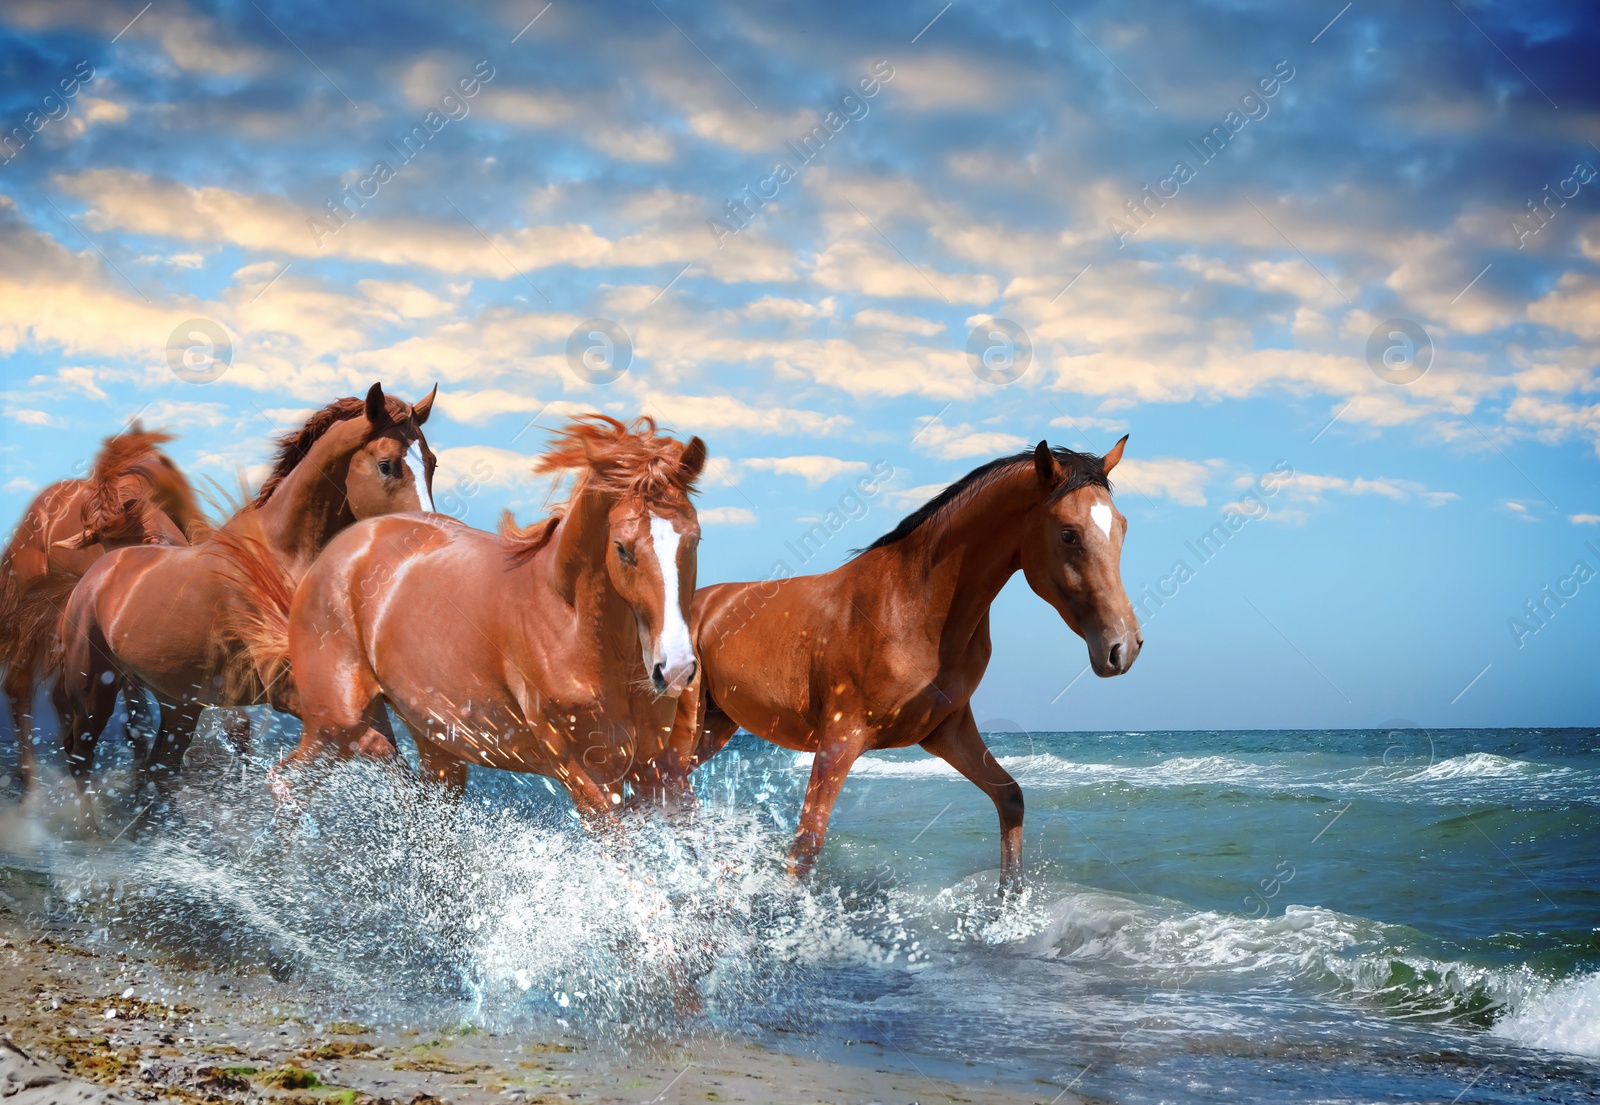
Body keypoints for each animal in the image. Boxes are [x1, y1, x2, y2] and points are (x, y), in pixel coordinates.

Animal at [58, 385, 438, 799]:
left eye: (432, 463)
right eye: (386, 464)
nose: (426, 537)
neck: (284, 559)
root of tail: (105, 566)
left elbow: (398, 767)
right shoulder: (284, 686)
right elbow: (370, 745)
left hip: (179, 704)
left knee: (159, 769)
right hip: (92, 692)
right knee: (79, 759)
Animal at [272, 415, 704, 818]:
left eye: (695, 538)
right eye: (622, 548)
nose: (675, 669)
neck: (574, 629)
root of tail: (341, 548)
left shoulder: (660, 769)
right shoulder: (587, 778)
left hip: (436, 745)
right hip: (336, 725)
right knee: (284, 780)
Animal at [668, 438, 1145, 895]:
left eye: (1122, 528)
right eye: (1068, 534)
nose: (1123, 647)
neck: (911, 605)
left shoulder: (948, 732)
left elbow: (1011, 799)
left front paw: (1008, 906)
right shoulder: (839, 739)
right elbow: (805, 847)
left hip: (717, 725)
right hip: (686, 721)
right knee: (670, 789)